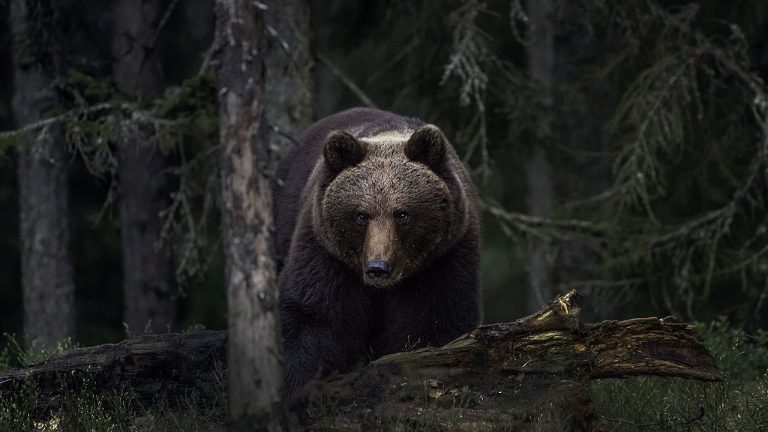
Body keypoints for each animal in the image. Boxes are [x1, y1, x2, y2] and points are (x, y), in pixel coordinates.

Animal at [273, 107, 481, 399]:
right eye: (361, 215)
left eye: (402, 214)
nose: (377, 267)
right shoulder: (326, 253)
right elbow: (314, 316)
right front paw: (297, 386)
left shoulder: (442, 261)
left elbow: (432, 324)